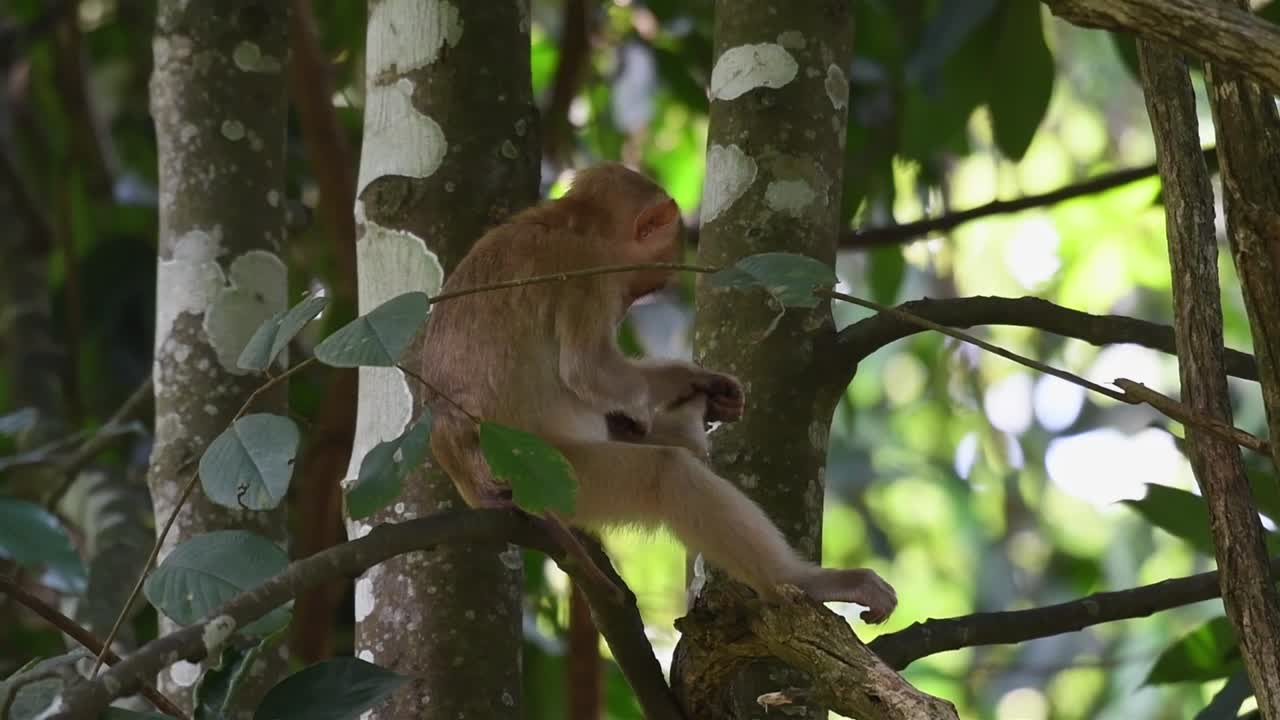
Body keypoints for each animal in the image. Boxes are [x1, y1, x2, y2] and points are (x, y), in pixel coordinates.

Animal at [419, 163, 896, 622]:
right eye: (638, 286)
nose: (626, 311)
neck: (566, 223)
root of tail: (469, 473)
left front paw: (702, 384)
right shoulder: (587, 272)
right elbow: (589, 369)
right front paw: (676, 386)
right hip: (556, 476)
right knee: (666, 473)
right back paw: (799, 579)